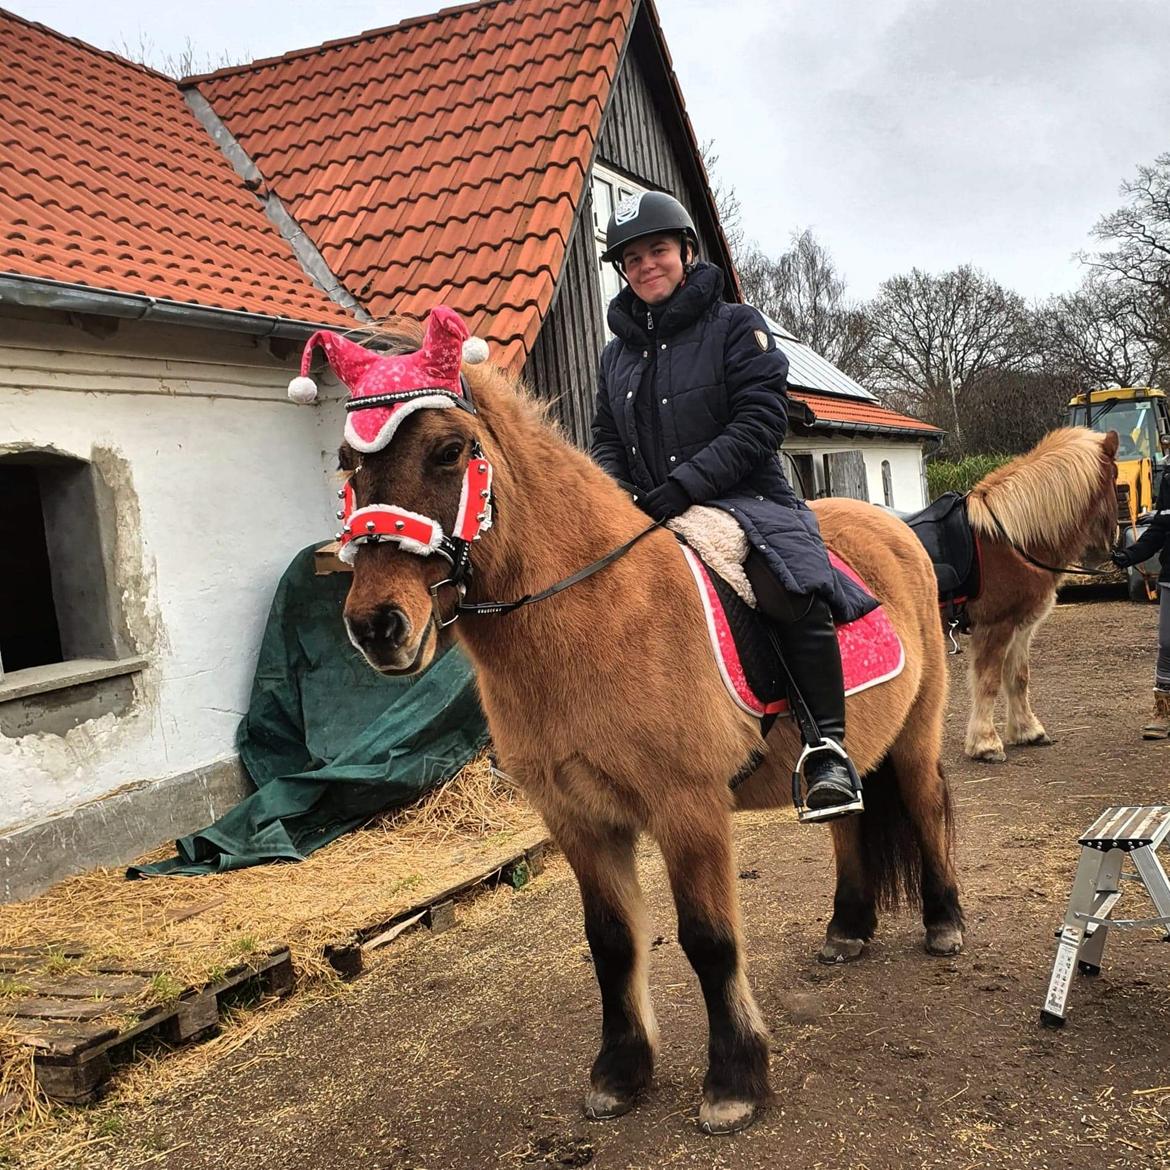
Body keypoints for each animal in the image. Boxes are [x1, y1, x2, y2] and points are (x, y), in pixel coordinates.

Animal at [334, 327, 964, 1132]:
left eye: (448, 451)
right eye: (348, 463)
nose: (377, 626)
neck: (598, 613)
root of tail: (891, 525)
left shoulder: (686, 808)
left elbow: (708, 941)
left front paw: (734, 1081)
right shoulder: (578, 818)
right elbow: (610, 943)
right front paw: (620, 1072)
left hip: (914, 735)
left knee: (924, 807)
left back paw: (944, 923)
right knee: (846, 821)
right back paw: (848, 929)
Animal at [959, 428, 1123, 758]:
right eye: (1114, 476)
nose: (1108, 546)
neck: (1008, 539)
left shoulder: (1020, 627)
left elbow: (1018, 678)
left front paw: (1027, 731)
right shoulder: (995, 626)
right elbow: (988, 681)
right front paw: (985, 744)